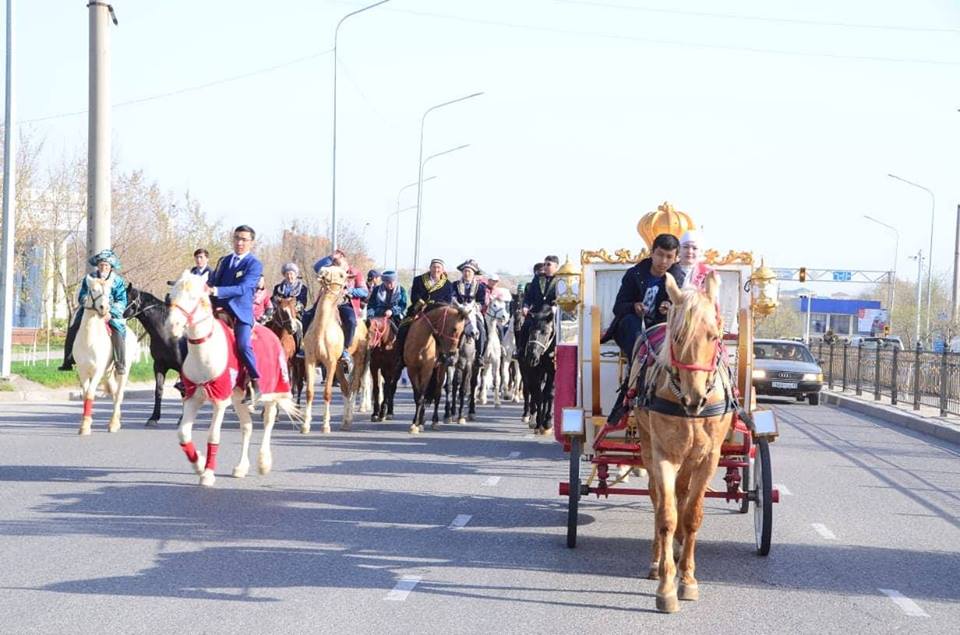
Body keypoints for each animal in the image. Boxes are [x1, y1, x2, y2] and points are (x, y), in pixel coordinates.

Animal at [72, 276, 139, 434]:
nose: (104, 308)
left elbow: (90, 393)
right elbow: (85, 395)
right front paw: (85, 424)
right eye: (93, 289)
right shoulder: (82, 371)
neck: (89, 339)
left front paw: (85, 425)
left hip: (123, 370)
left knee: (119, 394)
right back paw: (116, 420)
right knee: (114, 393)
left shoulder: (97, 371)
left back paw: (113, 423)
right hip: (108, 373)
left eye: (109, 292)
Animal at [167, 272, 298, 486]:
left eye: (194, 298)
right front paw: (199, 464)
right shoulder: (193, 397)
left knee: (268, 421)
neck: (204, 351)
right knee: (247, 427)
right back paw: (241, 467)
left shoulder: (220, 400)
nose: (173, 326)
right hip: (239, 399)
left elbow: (213, 436)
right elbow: (183, 435)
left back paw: (263, 463)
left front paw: (208, 473)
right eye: (171, 296)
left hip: (272, 393)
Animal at [304, 266, 368, 434]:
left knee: (353, 387)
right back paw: (345, 422)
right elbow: (309, 392)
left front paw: (326, 425)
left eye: (341, 275)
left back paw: (349, 419)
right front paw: (305, 425)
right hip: (339, 365)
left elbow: (327, 393)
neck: (322, 329)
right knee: (346, 388)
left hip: (358, 359)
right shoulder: (310, 361)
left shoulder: (330, 363)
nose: (323, 273)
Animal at [402, 302, 468, 432]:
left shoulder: (427, 370)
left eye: (462, 331)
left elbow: (422, 395)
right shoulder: (412, 370)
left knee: (437, 394)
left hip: (440, 370)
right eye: (454, 329)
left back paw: (435, 421)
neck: (420, 343)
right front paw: (416, 422)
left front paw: (416, 424)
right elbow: (417, 395)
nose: (453, 355)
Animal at [636, 272, 736, 612]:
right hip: (647, 447)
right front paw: (666, 586)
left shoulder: (709, 458)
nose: (695, 399)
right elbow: (666, 515)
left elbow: (691, 516)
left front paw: (688, 579)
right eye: (678, 337)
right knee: (658, 499)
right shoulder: (663, 455)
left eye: (713, 335)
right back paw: (657, 561)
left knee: (682, 494)